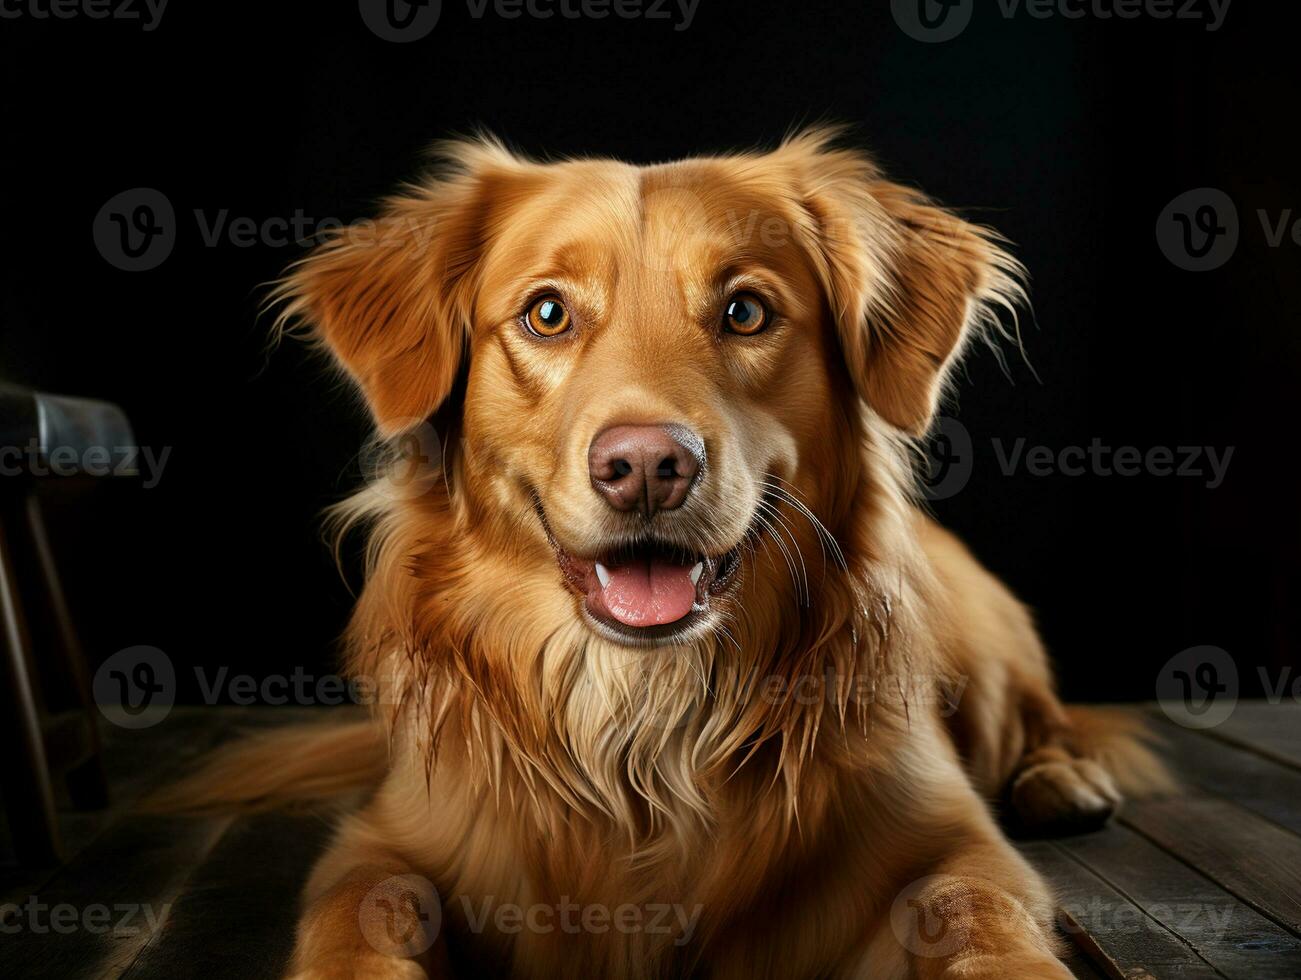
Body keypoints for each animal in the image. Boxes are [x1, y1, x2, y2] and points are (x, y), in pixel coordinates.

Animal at [157, 130, 1176, 978]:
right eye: (547, 314)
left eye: (745, 311)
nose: (645, 467)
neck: (644, 726)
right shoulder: (385, 842)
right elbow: (355, 918)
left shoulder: (949, 838)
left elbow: (977, 912)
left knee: (1047, 720)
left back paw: (1062, 780)